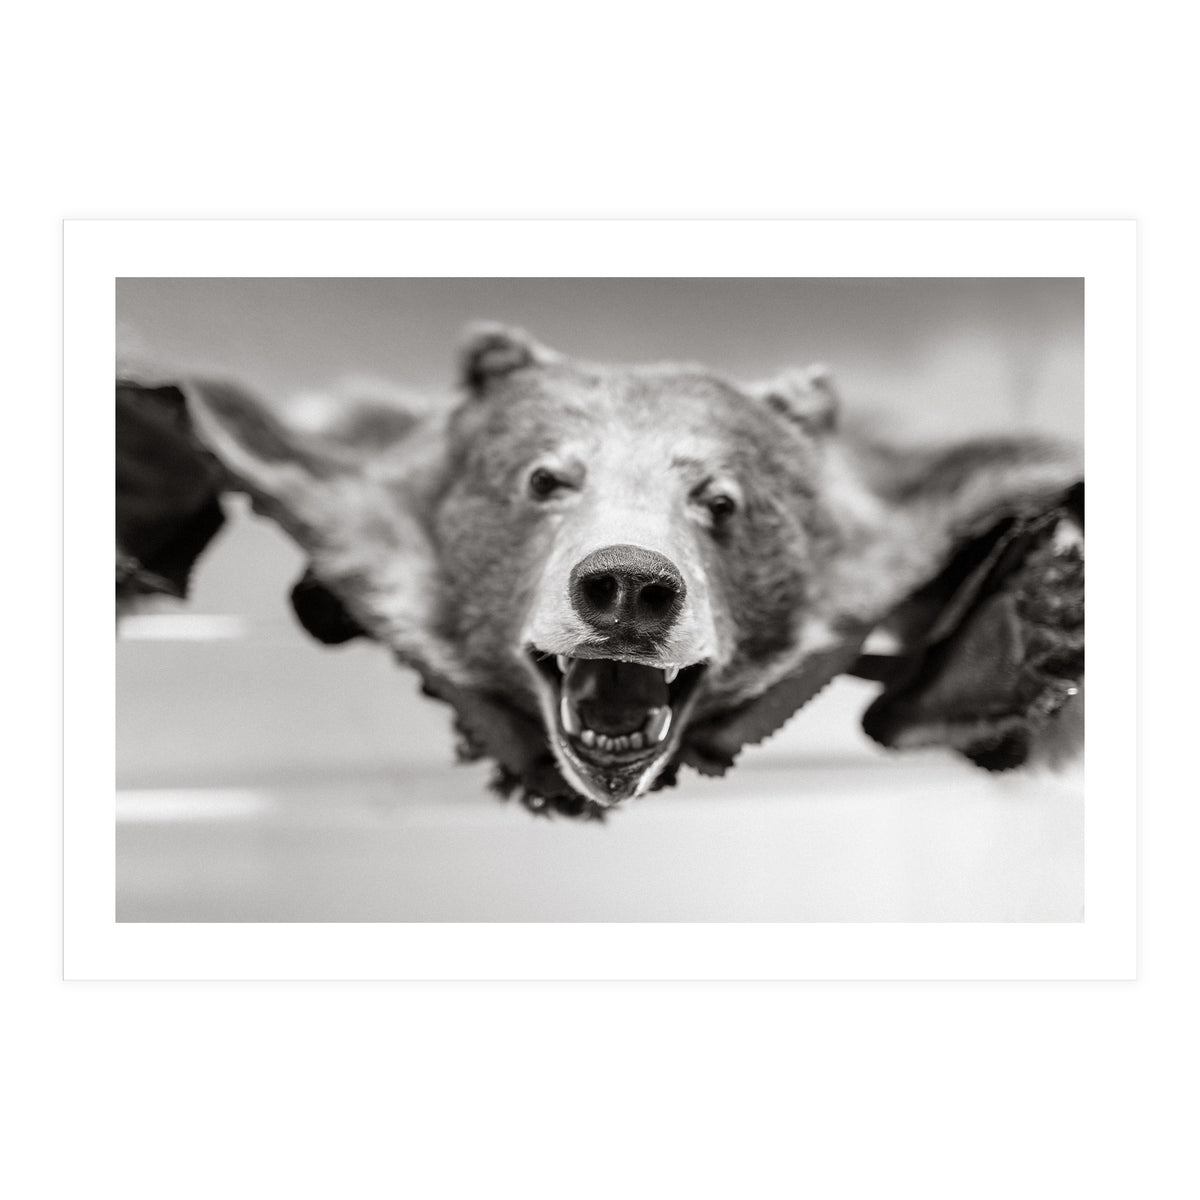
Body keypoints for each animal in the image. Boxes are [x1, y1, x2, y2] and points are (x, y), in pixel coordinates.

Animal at [117, 326, 1084, 818]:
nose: (628, 585)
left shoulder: (912, 523)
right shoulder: (329, 495)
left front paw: (1046, 619)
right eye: (546, 478)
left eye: (721, 498)